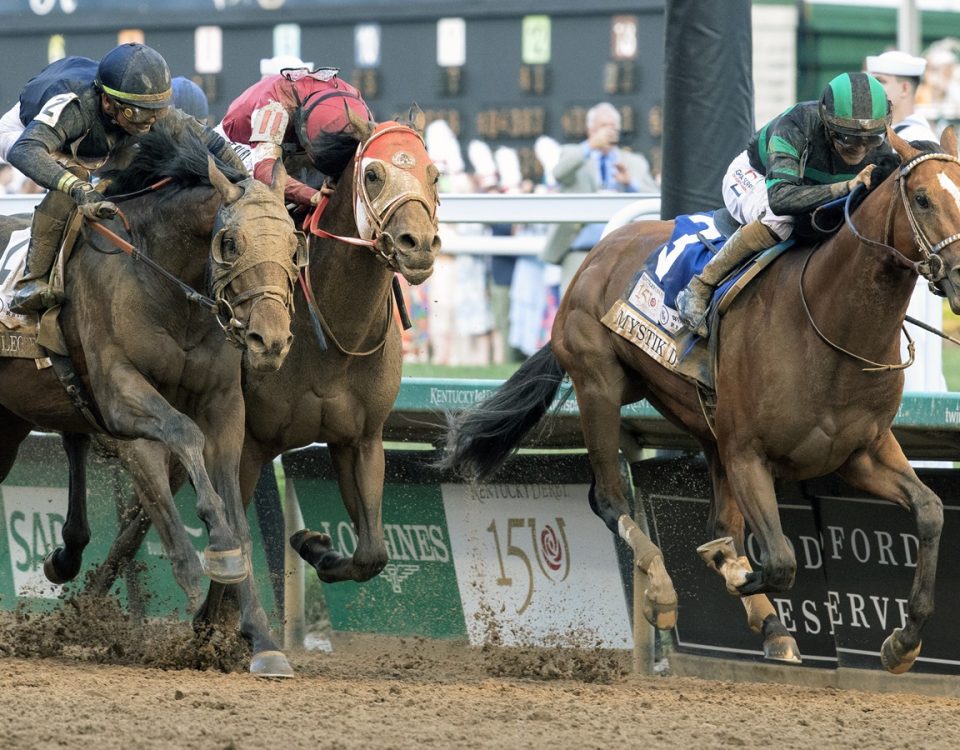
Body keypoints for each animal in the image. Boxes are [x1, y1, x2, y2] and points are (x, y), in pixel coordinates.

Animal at [0, 122, 300, 616]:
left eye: (295, 246)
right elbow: (182, 434)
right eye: (230, 243)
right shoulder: (119, 393)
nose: (270, 340)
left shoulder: (224, 403)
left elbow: (236, 507)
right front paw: (213, 547)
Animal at [83, 113, 442, 680]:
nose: (418, 244)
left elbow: (372, 553)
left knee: (141, 514)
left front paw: (314, 546)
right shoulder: (248, 443)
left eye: (434, 173)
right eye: (374, 174)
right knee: (142, 512)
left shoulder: (360, 439)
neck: (331, 332)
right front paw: (219, 629)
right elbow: (235, 532)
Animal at [442, 129, 960, 676]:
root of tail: (597, 253)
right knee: (610, 498)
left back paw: (771, 625)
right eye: (922, 198)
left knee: (721, 522)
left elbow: (930, 511)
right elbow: (779, 560)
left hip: (699, 421)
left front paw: (904, 641)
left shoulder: (860, 451)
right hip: (599, 384)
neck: (828, 324)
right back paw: (663, 592)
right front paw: (731, 576)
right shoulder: (748, 453)